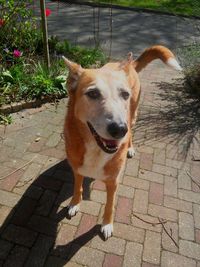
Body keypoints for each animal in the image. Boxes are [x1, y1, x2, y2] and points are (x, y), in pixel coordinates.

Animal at [63, 45, 182, 241]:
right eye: (93, 93)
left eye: (124, 94)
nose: (119, 129)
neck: (96, 148)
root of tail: (127, 65)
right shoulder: (77, 169)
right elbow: (76, 188)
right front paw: (74, 203)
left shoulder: (113, 182)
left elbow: (109, 205)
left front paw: (107, 224)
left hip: (132, 116)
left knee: (132, 130)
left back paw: (130, 148)